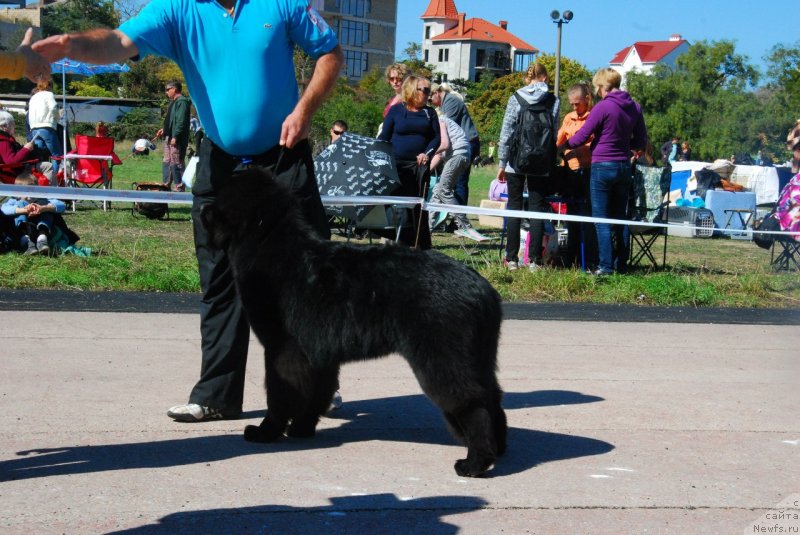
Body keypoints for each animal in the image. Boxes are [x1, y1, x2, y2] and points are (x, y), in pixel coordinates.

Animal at [205, 169, 506, 478]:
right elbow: (319, 393)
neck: (268, 243)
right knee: (493, 397)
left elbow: (280, 395)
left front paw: (266, 431)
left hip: (443, 359)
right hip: (478, 357)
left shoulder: (281, 349)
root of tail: (483, 289)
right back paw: (498, 448)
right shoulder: (319, 353)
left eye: (218, 203)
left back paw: (475, 462)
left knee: (472, 403)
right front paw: (301, 428)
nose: (202, 210)